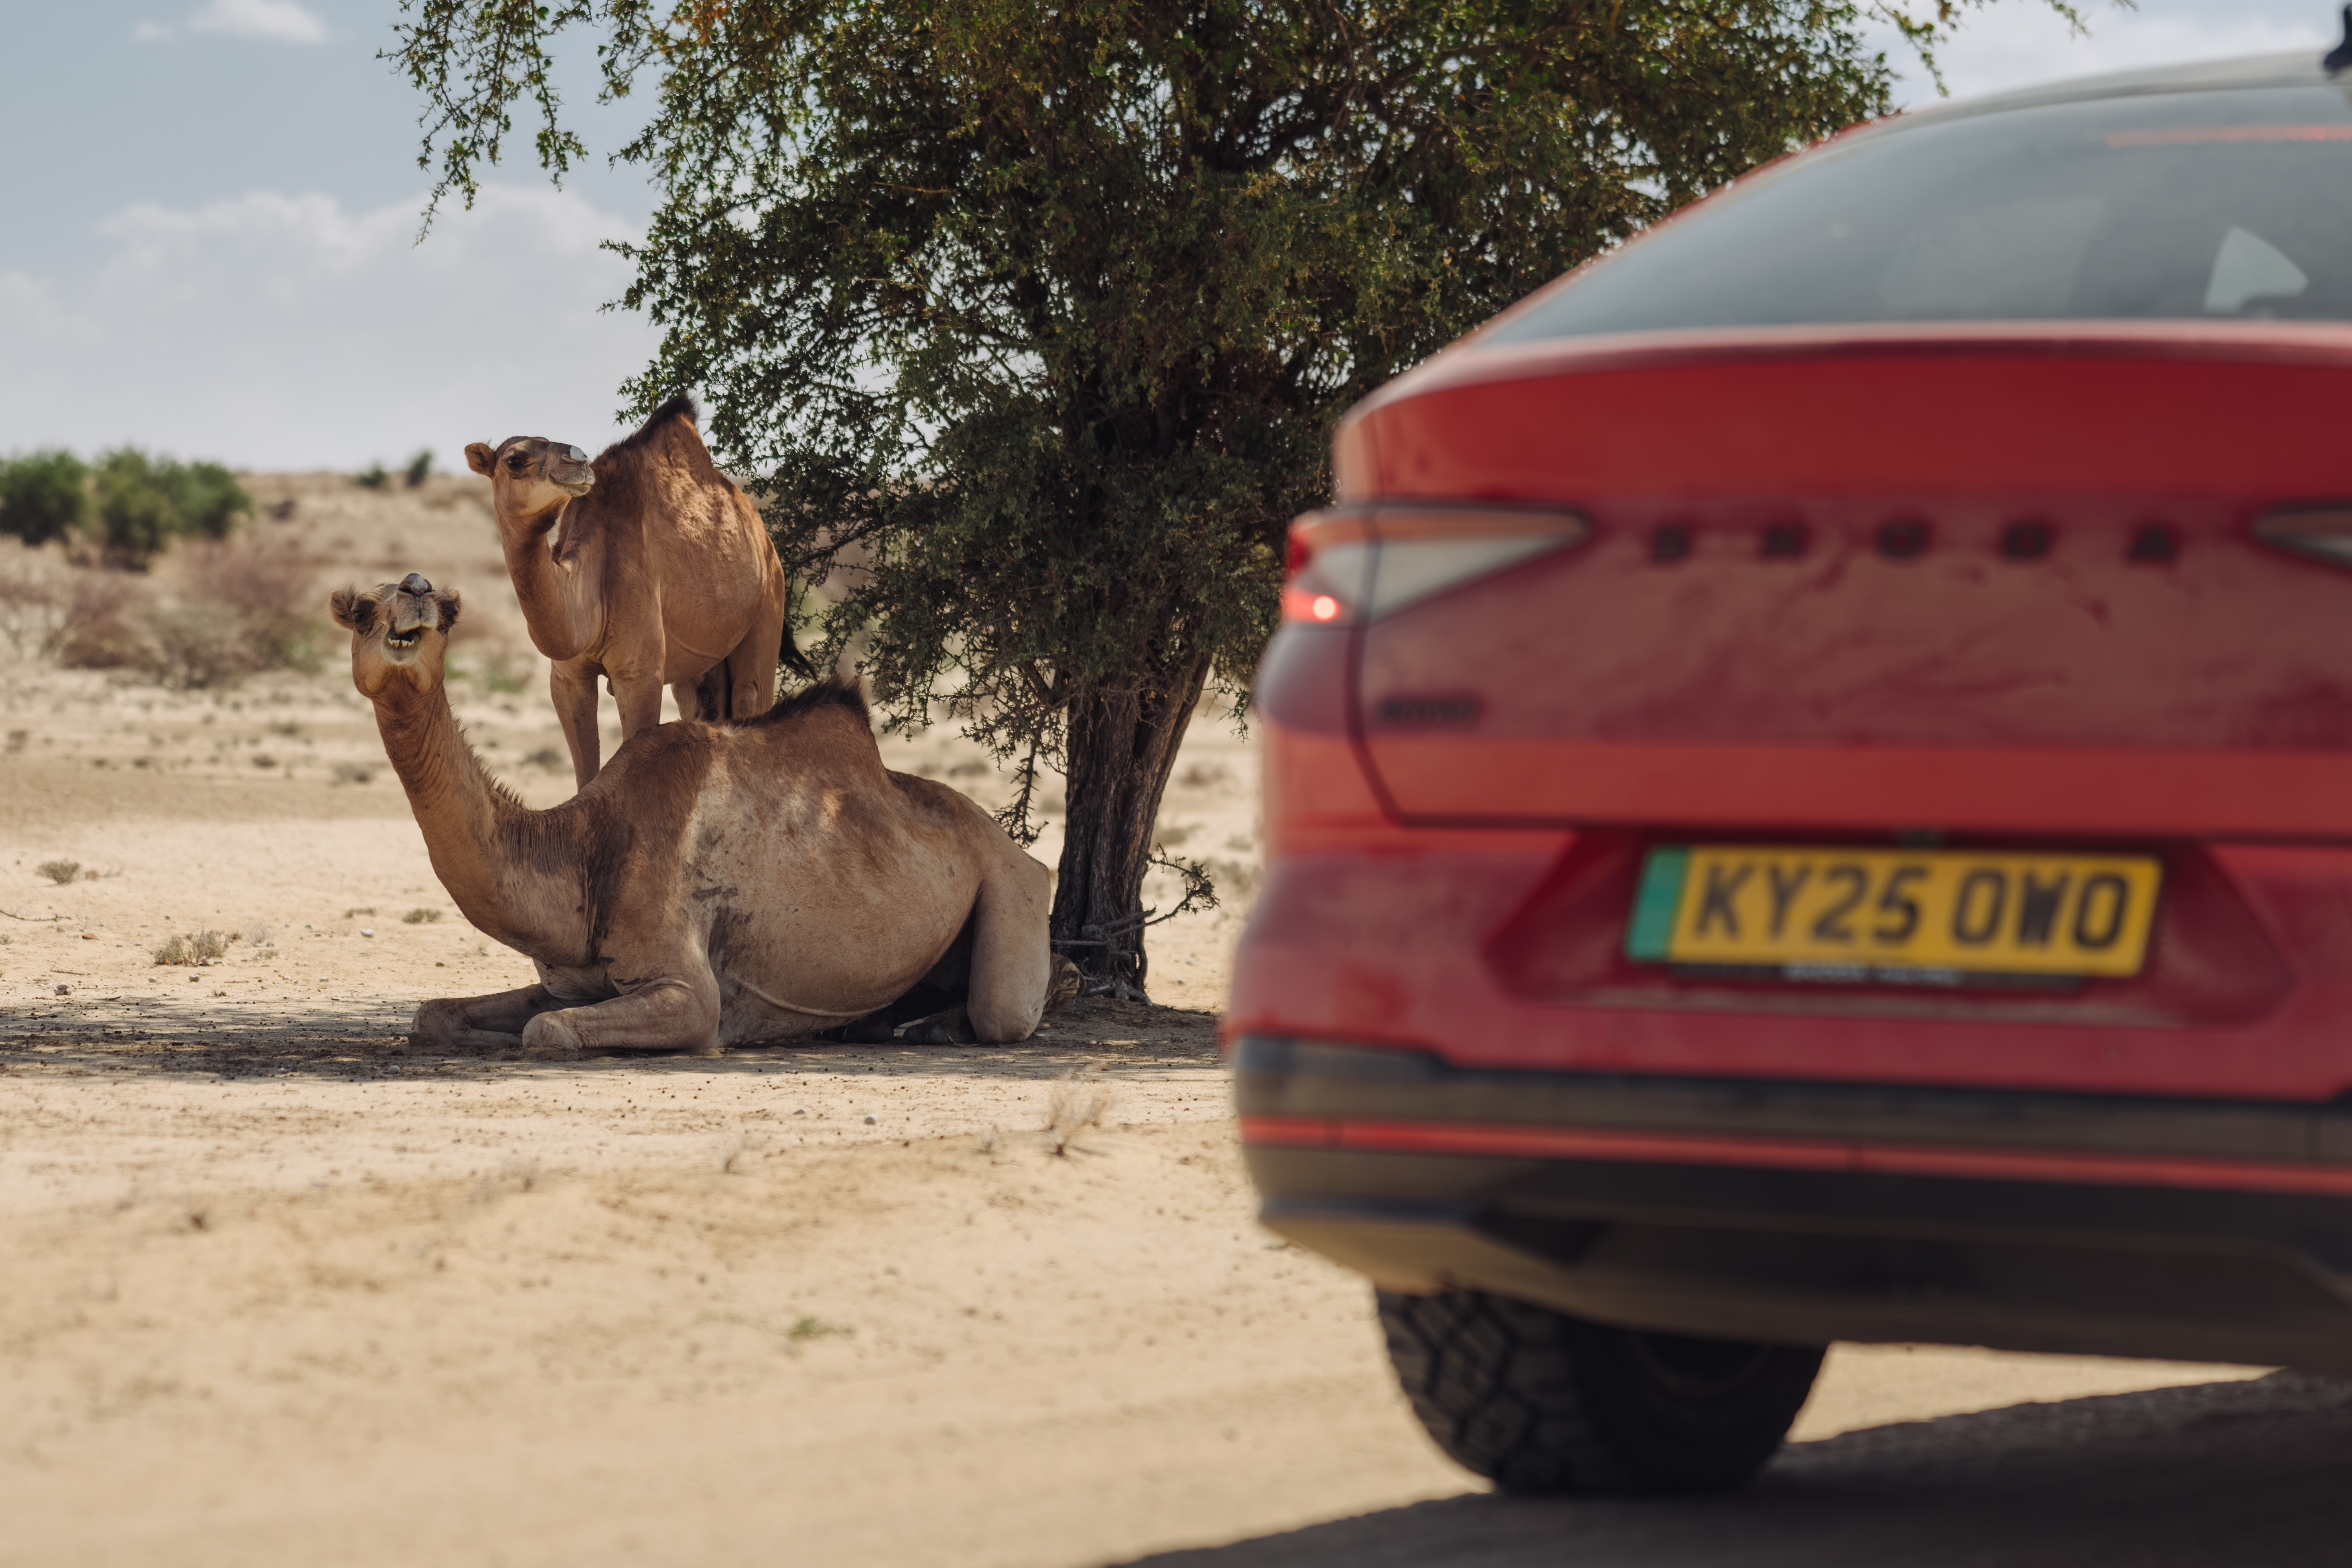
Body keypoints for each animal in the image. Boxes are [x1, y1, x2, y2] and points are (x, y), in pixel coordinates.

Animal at [330, 572, 1064, 1057]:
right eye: (360, 609)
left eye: (446, 614)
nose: (415, 593)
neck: (582, 850)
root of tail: (1015, 845)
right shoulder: (570, 982)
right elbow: (433, 1014)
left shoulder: (688, 989)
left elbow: (548, 1032)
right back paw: (871, 1022)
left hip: (1013, 884)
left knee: (1003, 1010)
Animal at [465, 395, 807, 790]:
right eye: (515, 459)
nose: (578, 459)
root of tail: (764, 535)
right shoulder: (567, 679)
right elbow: (585, 777)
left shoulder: (640, 674)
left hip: (770, 602)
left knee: (752, 695)